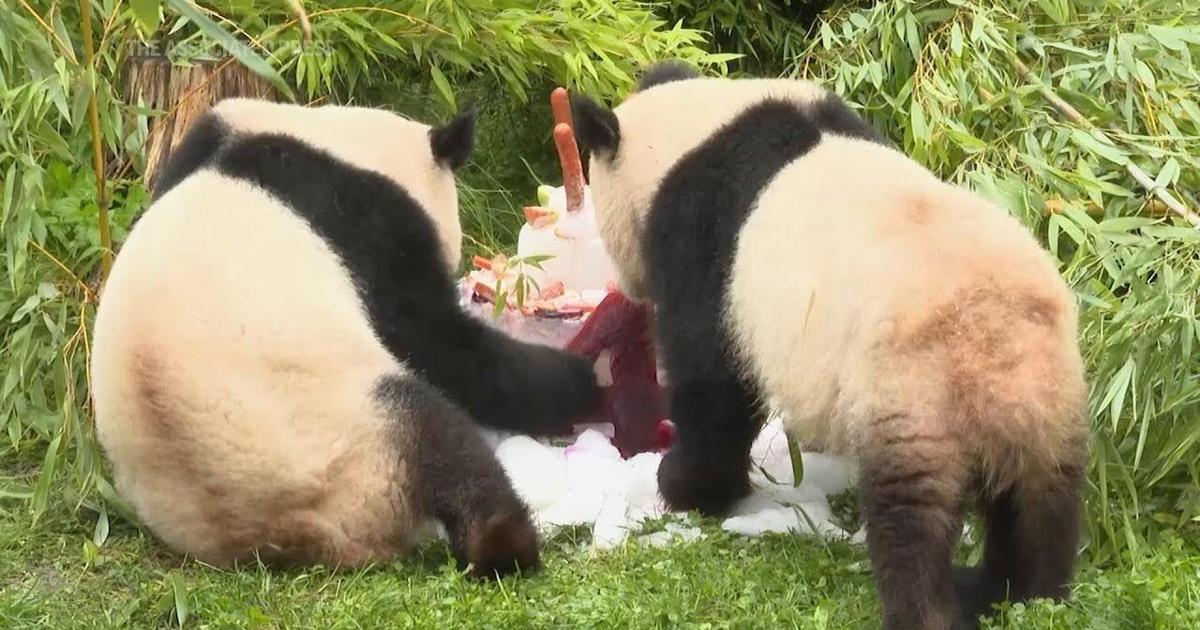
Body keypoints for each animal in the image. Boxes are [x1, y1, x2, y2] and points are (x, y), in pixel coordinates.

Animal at [91, 98, 601, 577]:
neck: (341, 142)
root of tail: (293, 534)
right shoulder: (366, 224)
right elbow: (440, 343)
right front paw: (584, 378)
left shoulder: (206, 138)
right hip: (354, 438)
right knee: (445, 443)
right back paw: (506, 546)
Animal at [571, 63, 1088, 629]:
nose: (624, 286)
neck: (686, 136)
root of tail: (994, 328)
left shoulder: (703, 243)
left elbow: (714, 383)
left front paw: (683, 484)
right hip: (1047, 391)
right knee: (1039, 505)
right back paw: (1022, 596)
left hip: (912, 385)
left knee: (912, 519)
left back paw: (927, 607)